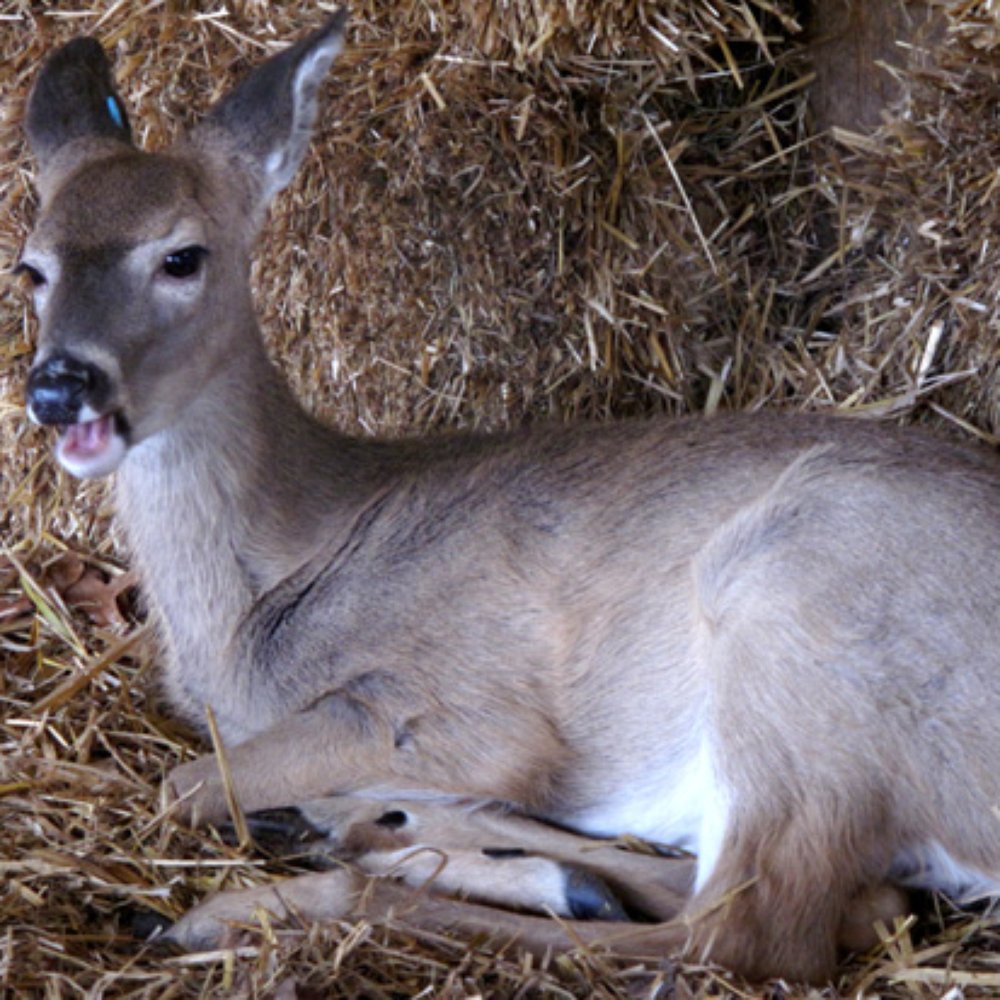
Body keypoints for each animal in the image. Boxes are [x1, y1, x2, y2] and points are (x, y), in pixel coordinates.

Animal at [16, 9, 1000, 984]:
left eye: (182, 255)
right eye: (31, 267)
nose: (61, 383)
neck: (270, 587)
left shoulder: (462, 710)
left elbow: (181, 783)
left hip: (795, 617)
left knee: (751, 934)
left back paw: (246, 906)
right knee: (848, 905)